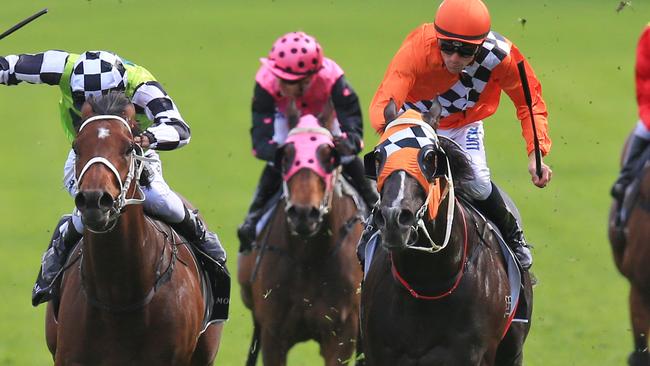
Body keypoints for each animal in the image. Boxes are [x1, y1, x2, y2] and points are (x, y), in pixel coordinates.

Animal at [237, 109, 364, 366]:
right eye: (286, 157)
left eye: (329, 157)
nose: (304, 213)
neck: (309, 258)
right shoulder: (273, 334)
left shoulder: (341, 334)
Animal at [360, 101, 532, 364]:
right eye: (378, 156)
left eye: (430, 156)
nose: (393, 218)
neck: (428, 282)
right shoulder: (379, 351)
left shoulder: (470, 353)